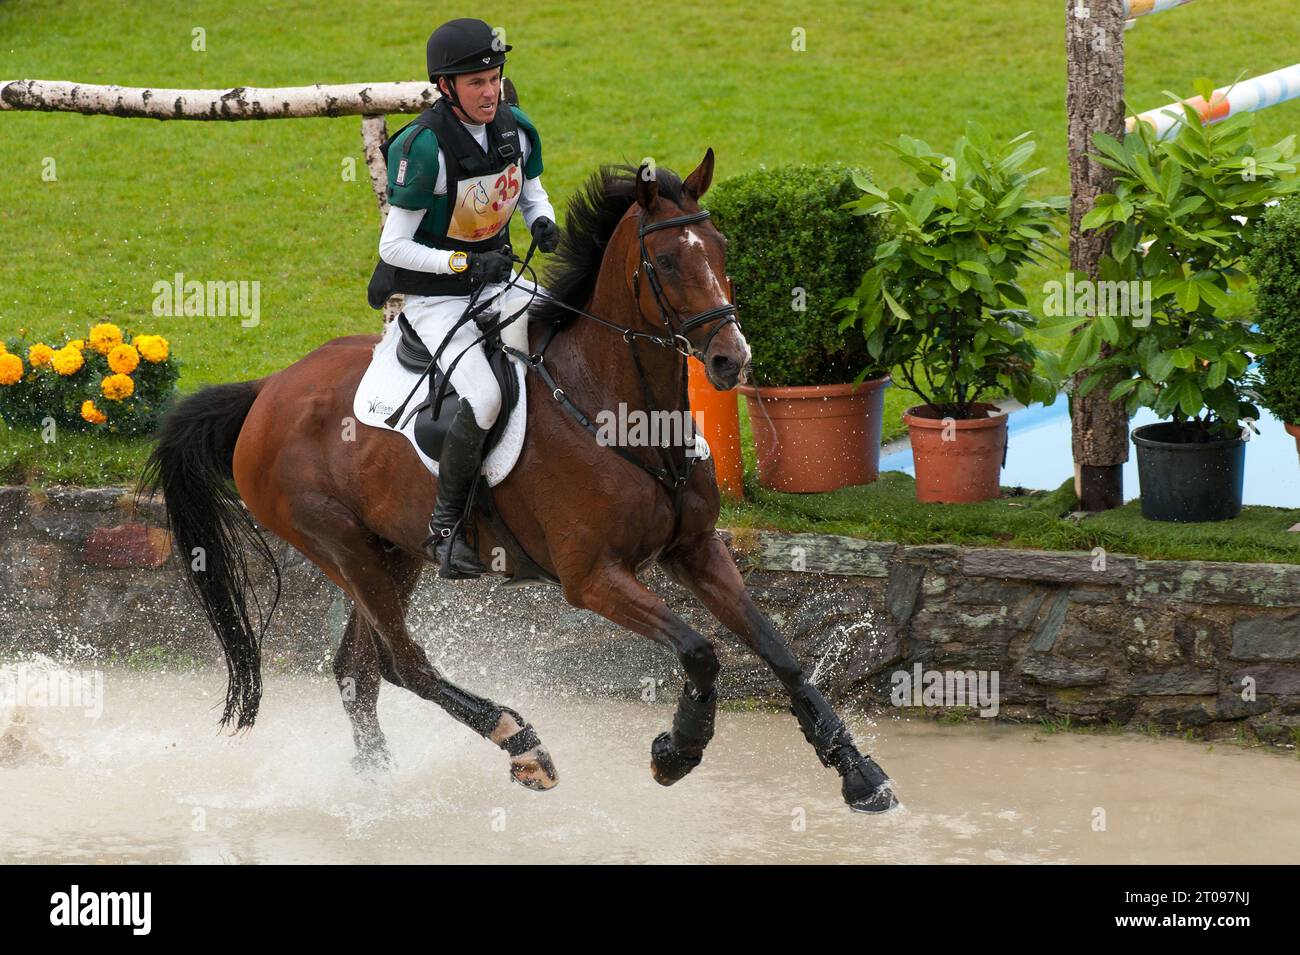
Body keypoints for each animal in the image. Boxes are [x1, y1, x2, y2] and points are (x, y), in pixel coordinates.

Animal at [137, 149, 899, 815]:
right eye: (666, 261)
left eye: (722, 248)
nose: (730, 360)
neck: (622, 414)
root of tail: (267, 391)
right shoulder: (593, 578)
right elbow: (700, 650)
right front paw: (677, 750)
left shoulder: (697, 548)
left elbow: (779, 650)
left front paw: (858, 773)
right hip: (340, 546)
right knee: (403, 664)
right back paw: (519, 741)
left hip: (393, 550)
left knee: (360, 671)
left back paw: (378, 781)